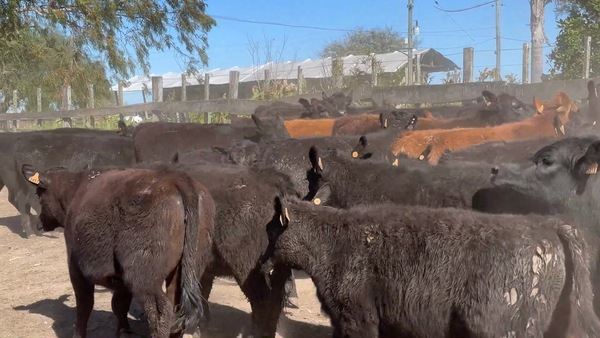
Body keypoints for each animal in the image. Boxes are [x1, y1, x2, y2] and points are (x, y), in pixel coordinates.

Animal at [22, 166, 214, 338]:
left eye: (39, 194)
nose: (39, 223)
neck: (76, 190)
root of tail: (175, 177)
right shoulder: (121, 280)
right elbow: (119, 305)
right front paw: (123, 331)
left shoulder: (76, 268)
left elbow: (85, 305)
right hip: (185, 269)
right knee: (176, 308)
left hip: (144, 277)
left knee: (160, 313)